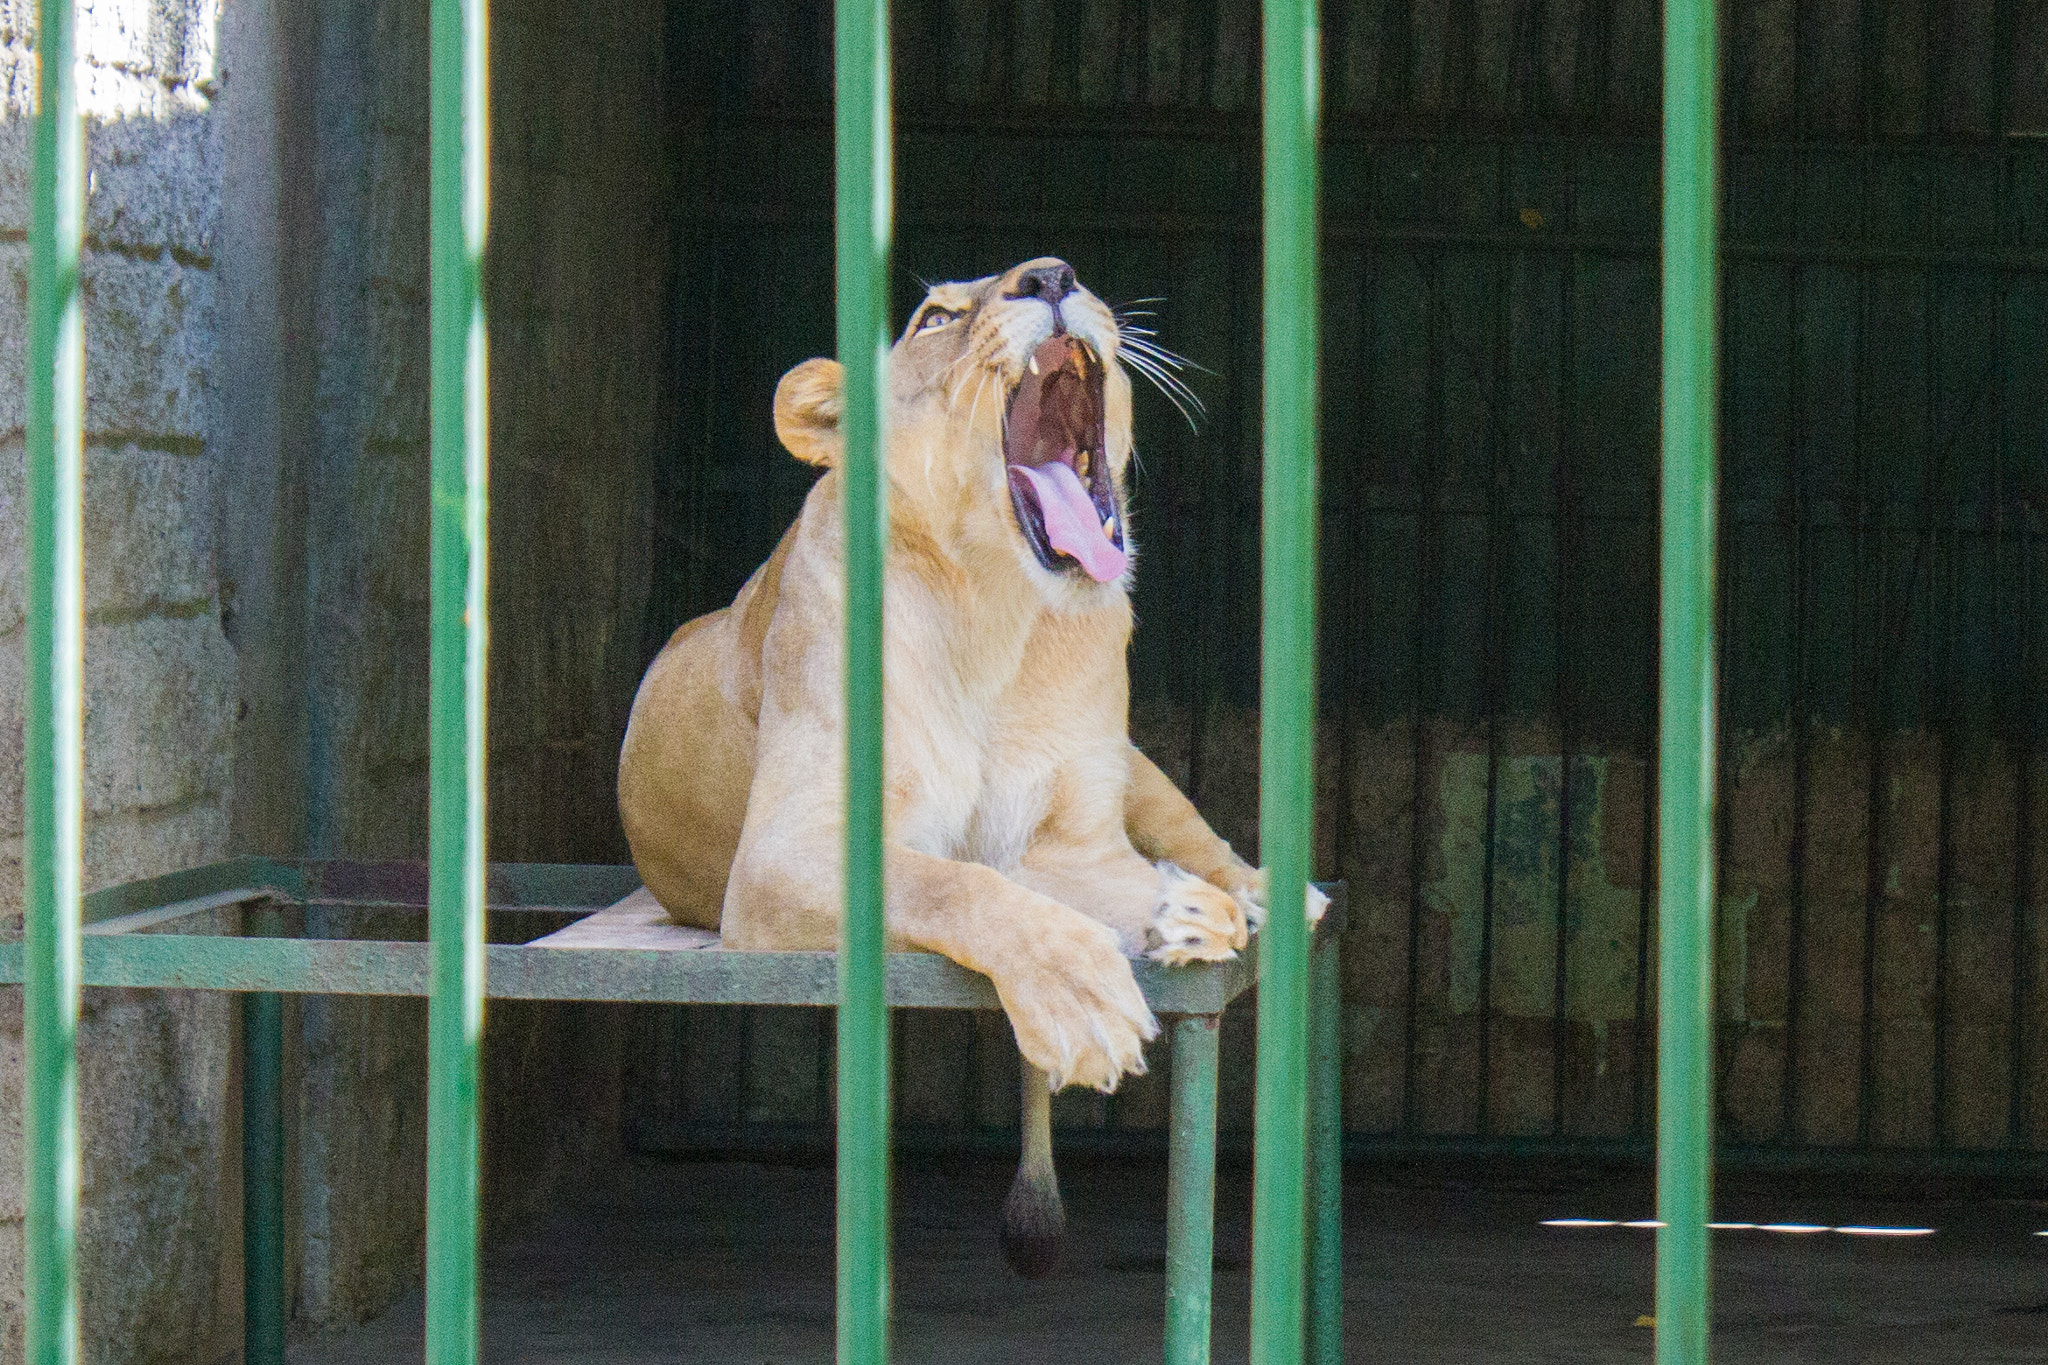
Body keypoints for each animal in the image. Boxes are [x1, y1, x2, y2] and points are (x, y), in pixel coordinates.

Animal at [619, 257, 1296, 1275]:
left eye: (1067, 272)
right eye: (936, 318)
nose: (1051, 275)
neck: (998, 614)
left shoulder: (1073, 844)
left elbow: (1063, 876)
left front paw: (1184, 912)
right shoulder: (779, 857)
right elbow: (953, 884)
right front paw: (1083, 996)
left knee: (1196, 835)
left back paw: (1252, 894)